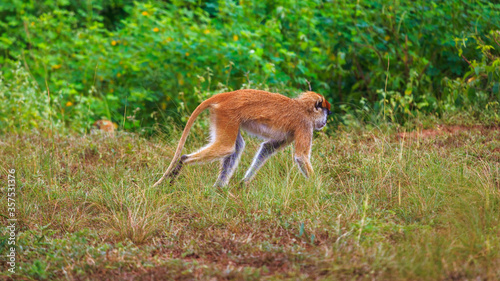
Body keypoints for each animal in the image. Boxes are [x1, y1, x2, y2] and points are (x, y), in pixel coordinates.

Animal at [152, 88, 332, 187]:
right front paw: (317, 189)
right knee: (226, 147)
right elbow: (301, 157)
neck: (304, 108)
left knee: (236, 147)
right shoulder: (305, 126)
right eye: (326, 112)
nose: (325, 121)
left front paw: (244, 182)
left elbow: (267, 148)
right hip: (227, 113)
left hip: (224, 116)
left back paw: (219, 187)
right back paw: (184, 160)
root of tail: (228, 95)